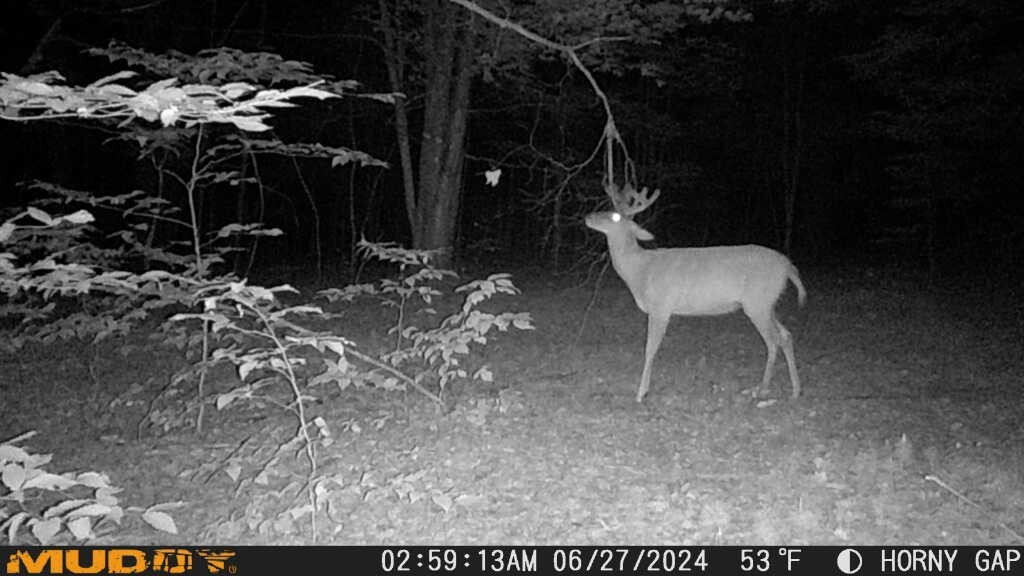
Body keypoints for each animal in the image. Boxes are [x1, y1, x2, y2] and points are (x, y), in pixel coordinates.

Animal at [586, 182, 807, 403]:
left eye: (615, 217)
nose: (588, 217)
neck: (640, 270)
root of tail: (788, 267)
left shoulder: (661, 306)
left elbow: (650, 349)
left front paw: (641, 393)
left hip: (758, 302)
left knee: (773, 341)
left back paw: (763, 389)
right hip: (768, 304)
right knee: (786, 335)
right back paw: (795, 390)